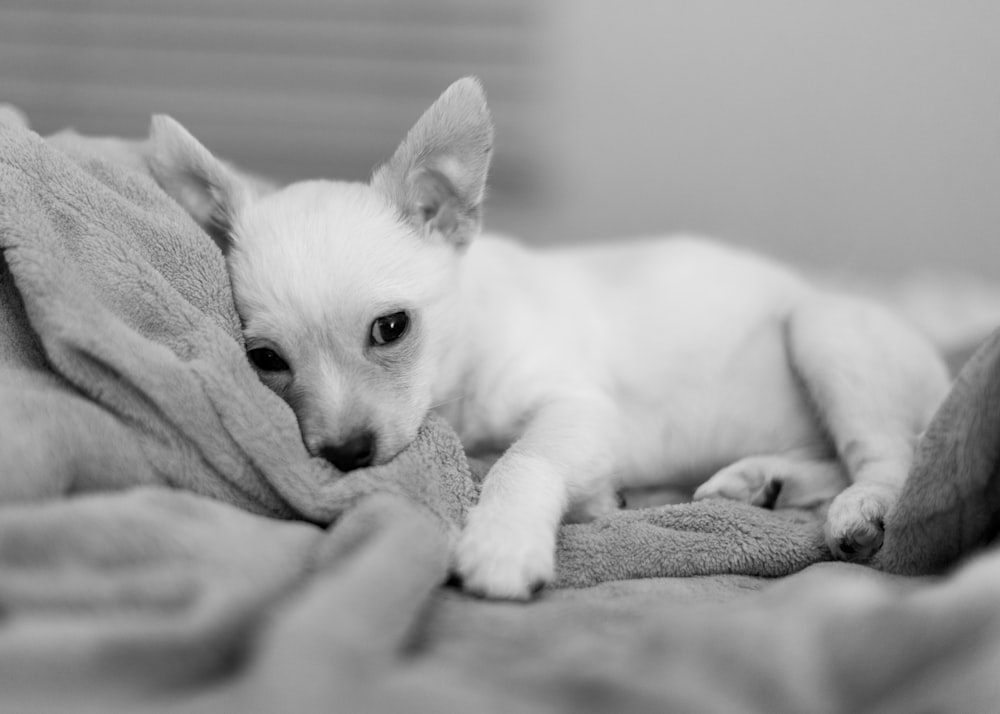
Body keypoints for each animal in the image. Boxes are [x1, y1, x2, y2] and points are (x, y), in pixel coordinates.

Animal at [146, 78, 944, 596]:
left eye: (391, 328)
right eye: (265, 360)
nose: (345, 454)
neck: (460, 382)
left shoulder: (579, 410)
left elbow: (520, 461)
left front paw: (501, 540)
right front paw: (593, 502)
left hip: (825, 329)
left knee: (890, 459)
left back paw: (859, 512)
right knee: (837, 455)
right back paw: (763, 483)